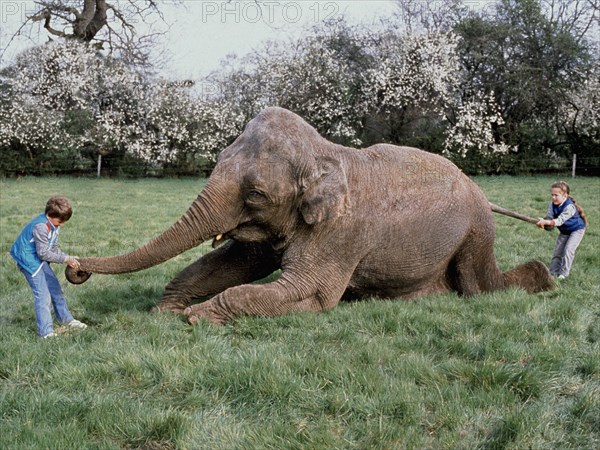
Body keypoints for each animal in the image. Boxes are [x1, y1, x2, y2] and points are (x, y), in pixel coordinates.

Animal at [67, 106, 552, 324]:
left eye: (255, 194)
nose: (75, 269)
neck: (323, 152)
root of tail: (482, 193)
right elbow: (232, 265)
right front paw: (164, 311)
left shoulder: (341, 233)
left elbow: (309, 293)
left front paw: (195, 317)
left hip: (476, 233)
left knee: (480, 286)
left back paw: (543, 280)